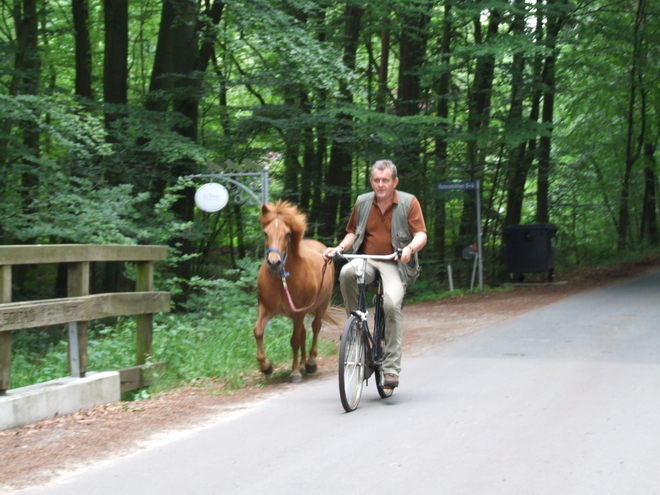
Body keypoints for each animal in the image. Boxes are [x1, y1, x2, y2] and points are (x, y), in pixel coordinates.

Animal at [253, 202, 336, 384]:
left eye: (287, 234)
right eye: (265, 233)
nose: (274, 263)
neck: (281, 280)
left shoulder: (298, 313)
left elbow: (295, 341)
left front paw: (295, 372)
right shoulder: (266, 309)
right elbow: (258, 331)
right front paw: (266, 366)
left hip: (321, 305)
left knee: (315, 327)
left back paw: (310, 363)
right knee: (304, 333)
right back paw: (304, 365)